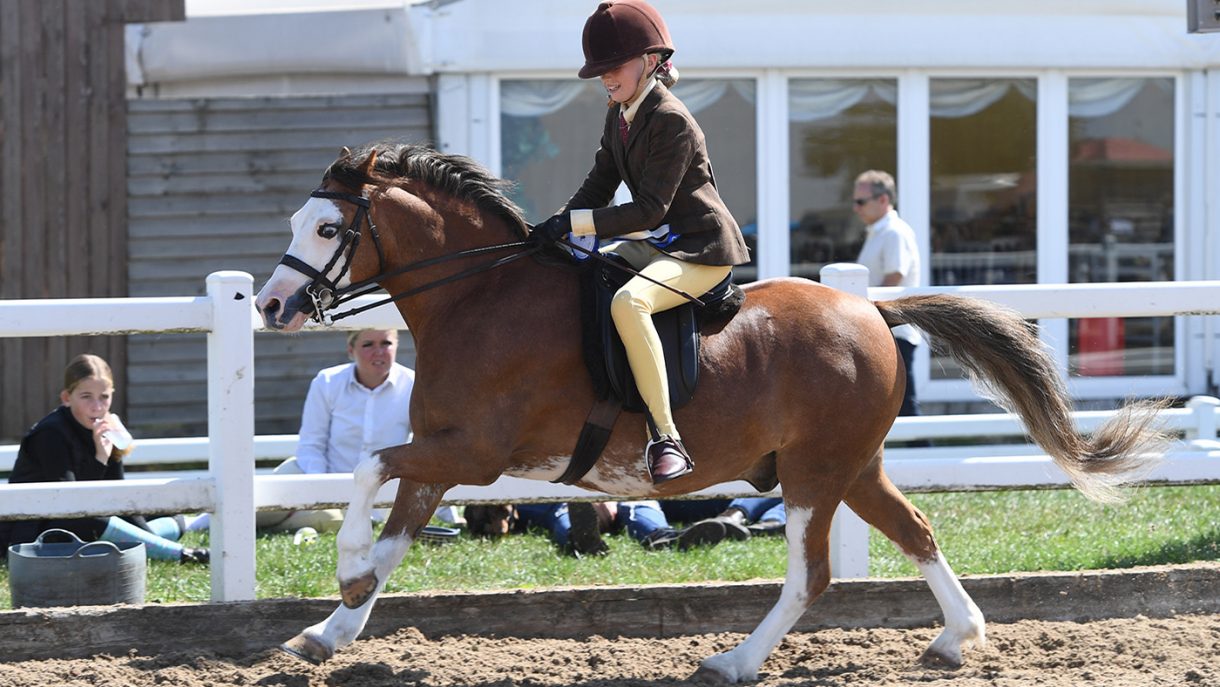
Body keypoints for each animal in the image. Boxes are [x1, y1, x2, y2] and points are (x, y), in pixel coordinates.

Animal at [253, 142, 1168, 683]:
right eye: (298, 218)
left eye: (329, 227)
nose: (270, 305)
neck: (479, 296)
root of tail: (873, 310)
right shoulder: (443, 452)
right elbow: (395, 534)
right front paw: (331, 626)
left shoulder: (471, 451)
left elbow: (368, 467)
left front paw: (343, 569)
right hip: (847, 465)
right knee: (916, 530)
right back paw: (955, 637)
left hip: (813, 475)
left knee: (812, 573)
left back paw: (734, 659)